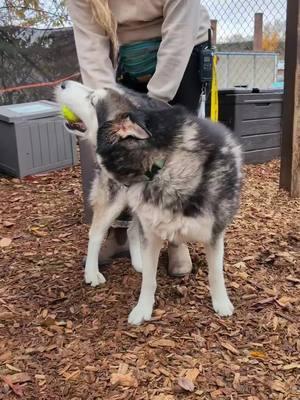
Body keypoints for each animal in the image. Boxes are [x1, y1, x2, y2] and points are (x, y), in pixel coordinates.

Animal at [55, 80, 241, 324]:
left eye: (92, 100)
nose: (63, 84)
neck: (164, 165)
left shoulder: (214, 234)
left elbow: (216, 273)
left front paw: (221, 303)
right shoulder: (151, 233)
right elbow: (149, 281)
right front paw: (142, 309)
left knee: (132, 230)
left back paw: (138, 262)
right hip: (114, 204)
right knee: (95, 234)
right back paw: (92, 272)